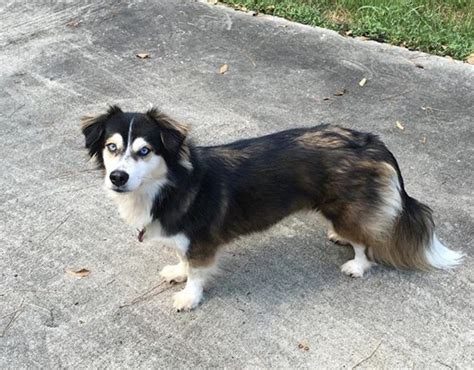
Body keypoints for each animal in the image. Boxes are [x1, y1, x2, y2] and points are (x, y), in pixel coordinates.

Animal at [80, 105, 462, 310]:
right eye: (112, 147)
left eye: (145, 151)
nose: (117, 177)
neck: (168, 185)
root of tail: (372, 143)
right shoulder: (185, 238)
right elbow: (182, 258)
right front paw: (177, 271)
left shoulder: (201, 243)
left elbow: (198, 272)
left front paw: (188, 296)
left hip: (346, 209)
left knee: (366, 240)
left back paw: (357, 264)